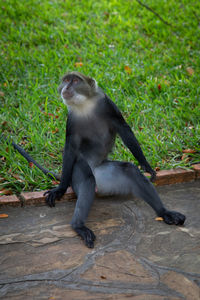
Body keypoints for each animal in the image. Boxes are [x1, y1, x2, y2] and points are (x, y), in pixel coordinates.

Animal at [42, 71, 186, 247]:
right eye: (66, 80)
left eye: (75, 81)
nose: (67, 87)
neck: (85, 105)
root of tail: (96, 169)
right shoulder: (72, 120)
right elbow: (70, 148)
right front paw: (60, 189)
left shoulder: (106, 103)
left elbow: (123, 128)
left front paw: (145, 165)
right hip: (79, 169)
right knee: (88, 179)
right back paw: (78, 226)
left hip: (106, 173)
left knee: (130, 170)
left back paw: (164, 212)